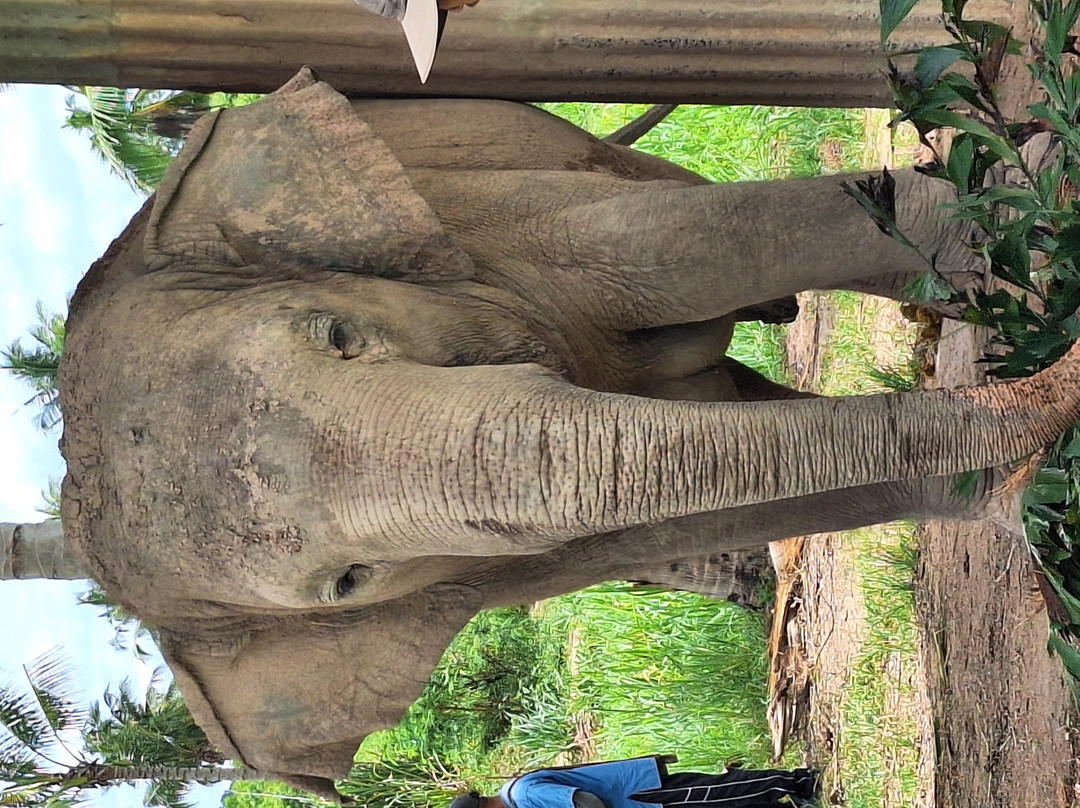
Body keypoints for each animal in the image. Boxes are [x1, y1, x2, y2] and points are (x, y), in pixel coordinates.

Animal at [57, 68, 1080, 799]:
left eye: (340, 335)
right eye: (349, 584)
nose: (1052, 376)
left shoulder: (487, 218)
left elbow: (669, 247)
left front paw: (1017, 219)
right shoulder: (499, 564)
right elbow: (689, 519)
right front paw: (1005, 497)